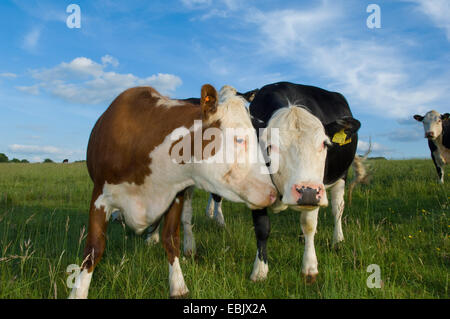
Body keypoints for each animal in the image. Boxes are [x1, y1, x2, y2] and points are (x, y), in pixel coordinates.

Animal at [68, 85, 276, 300]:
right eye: (240, 139)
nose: (273, 193)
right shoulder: (99, 197)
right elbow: (94, 248)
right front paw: (78, 291)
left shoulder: (175, 196)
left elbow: (171, 239)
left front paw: (178, 284)